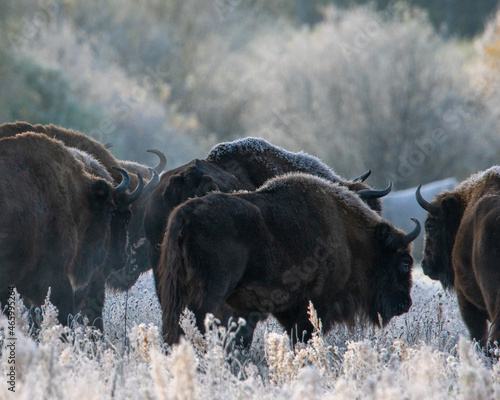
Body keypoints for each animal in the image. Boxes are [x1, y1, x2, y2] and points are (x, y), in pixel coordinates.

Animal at [158, 173, 420, 346]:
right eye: (405, 262)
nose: (405, 303)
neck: (349, 238)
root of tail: (186, 213)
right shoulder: (314, 305)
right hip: (210, 296)